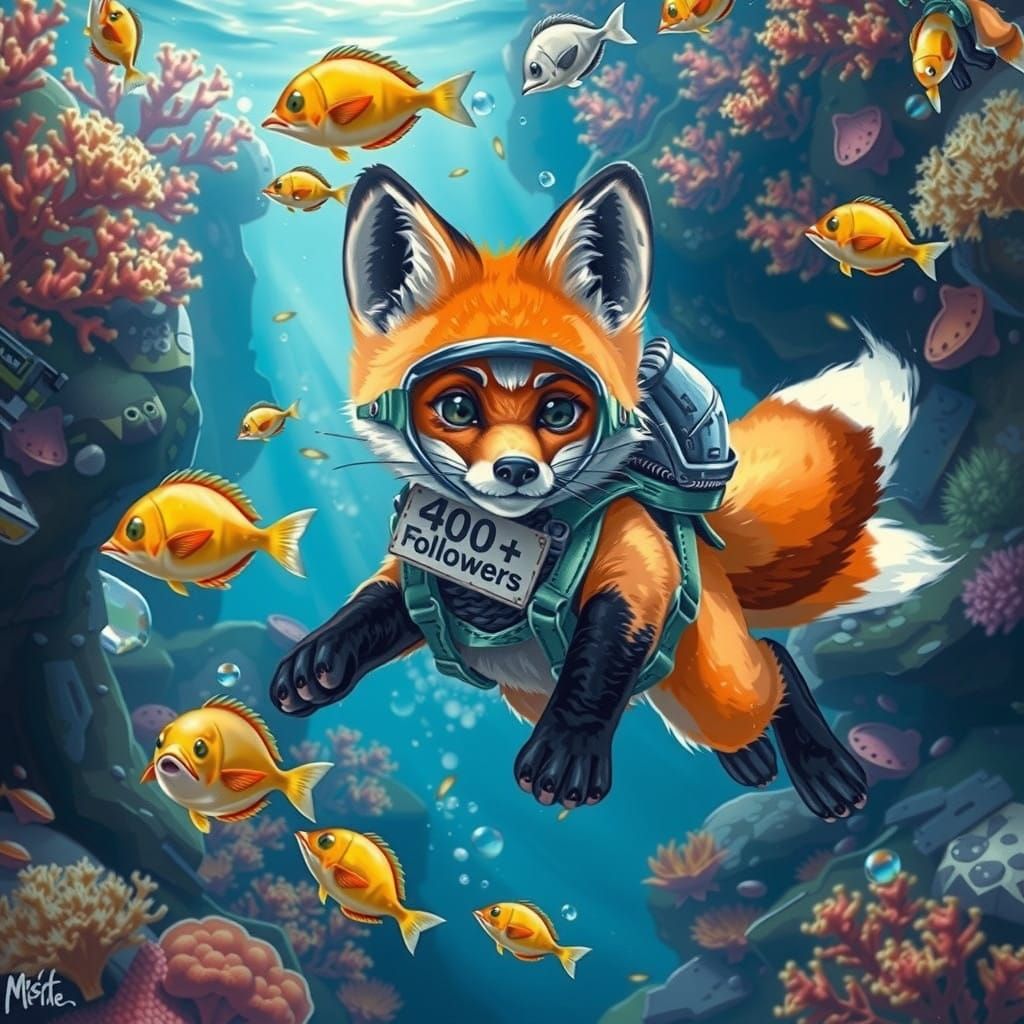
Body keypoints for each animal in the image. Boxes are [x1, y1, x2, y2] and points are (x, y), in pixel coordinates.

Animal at [269, 162, 953, 821]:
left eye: (560, 412)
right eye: (458, 407)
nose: (515, 471)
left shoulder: (639, 570)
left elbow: (599, 658)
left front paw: (569, 748)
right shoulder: (418, 568)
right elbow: (371, 606)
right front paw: (320, 657)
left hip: (719, 691)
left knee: (773, 667)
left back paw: (819, 764)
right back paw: (753, 759)